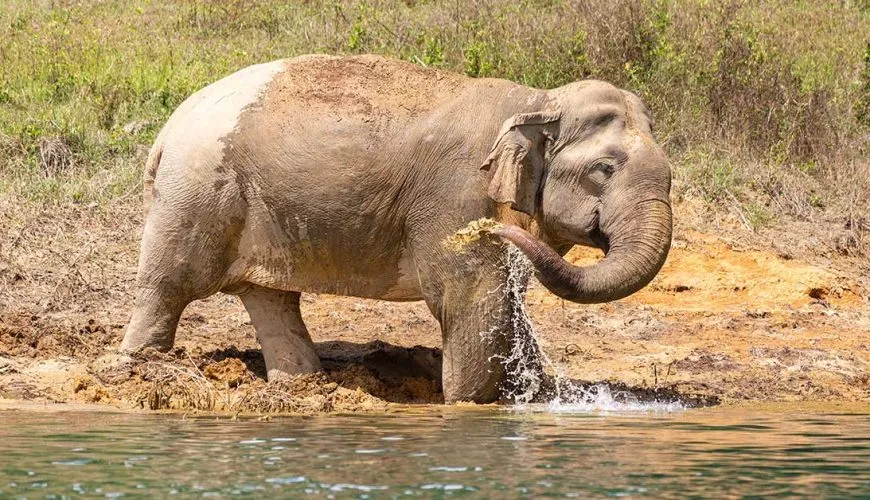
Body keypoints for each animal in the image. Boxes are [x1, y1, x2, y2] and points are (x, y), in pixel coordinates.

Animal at [120, 54, 672, 404]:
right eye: (603, 170)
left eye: (671, 174)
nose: (492, 232)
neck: (537, 99)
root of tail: (166, 132)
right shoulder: (456, 196)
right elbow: (471, 298)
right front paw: (473, 407)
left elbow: (506, 302)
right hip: (198, 194)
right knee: (171, 284)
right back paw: (141, 369)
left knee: (269, 297)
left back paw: (304, 386)